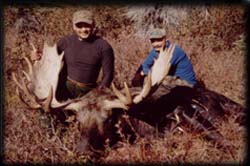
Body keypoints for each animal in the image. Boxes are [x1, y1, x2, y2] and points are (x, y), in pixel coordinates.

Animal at [11, 41, 244, 156]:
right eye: (77, 121)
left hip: (232, 108)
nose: (82, 152)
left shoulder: (185, 112)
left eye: (108, 119)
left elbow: (221, 140)